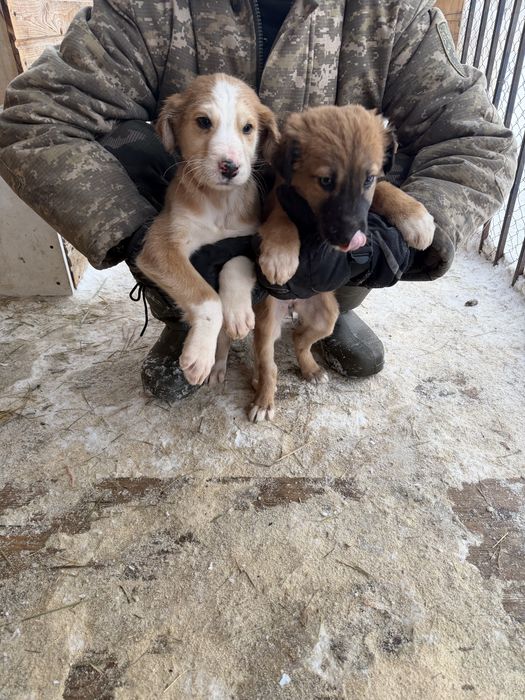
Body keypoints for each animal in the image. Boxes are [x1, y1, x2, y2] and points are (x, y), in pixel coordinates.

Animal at [135, 74, 278, 386]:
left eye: (247, 128)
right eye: (203, 122)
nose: (230, 167)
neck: (218, 202)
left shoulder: (246, 239)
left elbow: (236, 265)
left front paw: (237, 312)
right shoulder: (161, 244)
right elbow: (206, 298)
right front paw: (200, 353)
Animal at [249, 105, 435, 422]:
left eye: (367, 179)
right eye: (325, 181)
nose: (351, 240)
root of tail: (294, 305)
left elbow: (386, 188)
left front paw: (415, 216)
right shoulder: (278, 197)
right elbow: (282, 219)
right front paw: (280, 255)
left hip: (326, 316)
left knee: (300, 338)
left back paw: (311, 370)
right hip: (266, 324)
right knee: (267, 364)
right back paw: (263, 397)